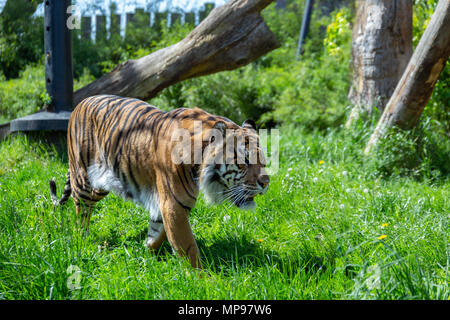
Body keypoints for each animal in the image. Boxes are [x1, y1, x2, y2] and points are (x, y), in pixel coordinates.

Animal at [49, 94, 268, 268]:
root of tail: (80, 103)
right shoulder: (174, 205)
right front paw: (203, 280)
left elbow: (159, 231)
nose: (266, 182)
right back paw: (82, 240)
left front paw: (148, 250)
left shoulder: (167, 203)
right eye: (245, 161)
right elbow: (188, 247)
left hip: (102, 184)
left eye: (263, 160)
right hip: (83, 179)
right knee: (81, 211)